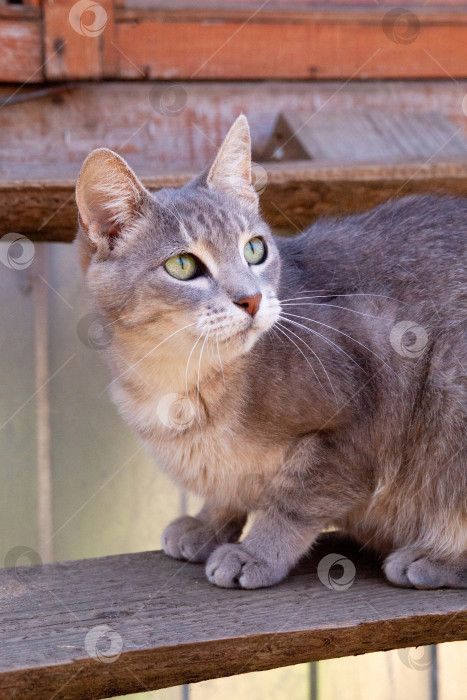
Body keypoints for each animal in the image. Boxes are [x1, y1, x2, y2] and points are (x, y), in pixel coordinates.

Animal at [77, 115, 467, 592]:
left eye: (254, 249)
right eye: (182, 266)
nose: (251, 299)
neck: (180, 380)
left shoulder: (367, 401)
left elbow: (295, 501)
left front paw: (257, 552)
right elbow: (228, 489)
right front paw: (210, 523)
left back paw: (434, 557)